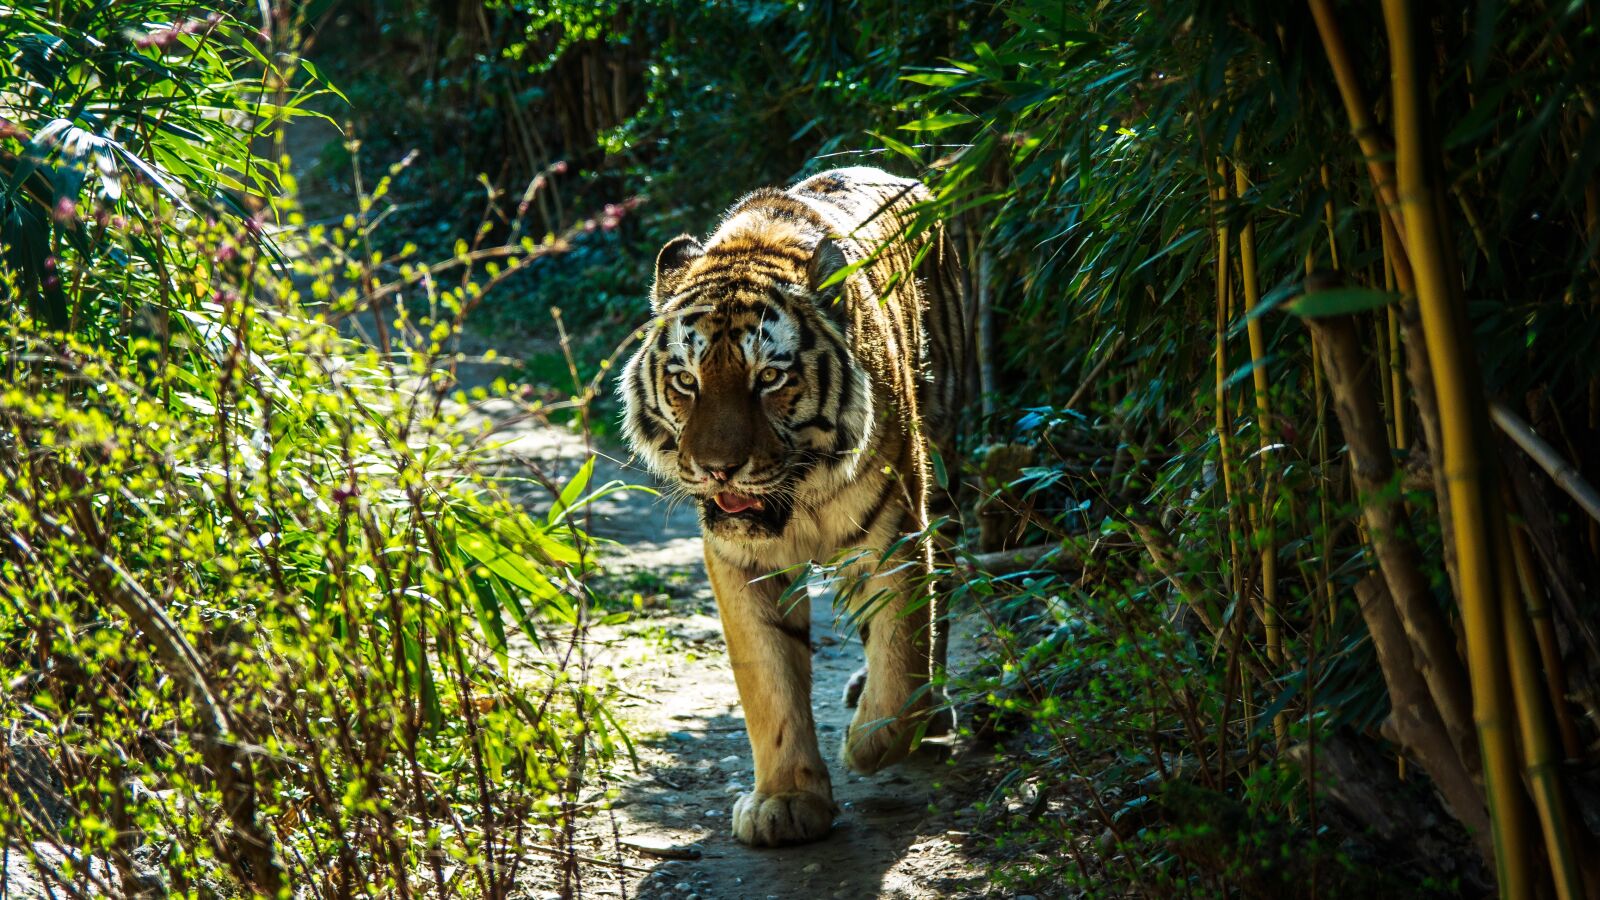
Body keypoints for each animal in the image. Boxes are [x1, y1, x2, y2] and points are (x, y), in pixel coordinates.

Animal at [618, 165, 968, 847]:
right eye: (686, 381)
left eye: (770, 379)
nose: (717, 469)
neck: (797, 501)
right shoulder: (740, 561)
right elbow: (769, 680)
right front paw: (785, 802)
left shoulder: (893, 534)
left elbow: (903, 655)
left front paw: (872, 743)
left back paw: (928, 711)